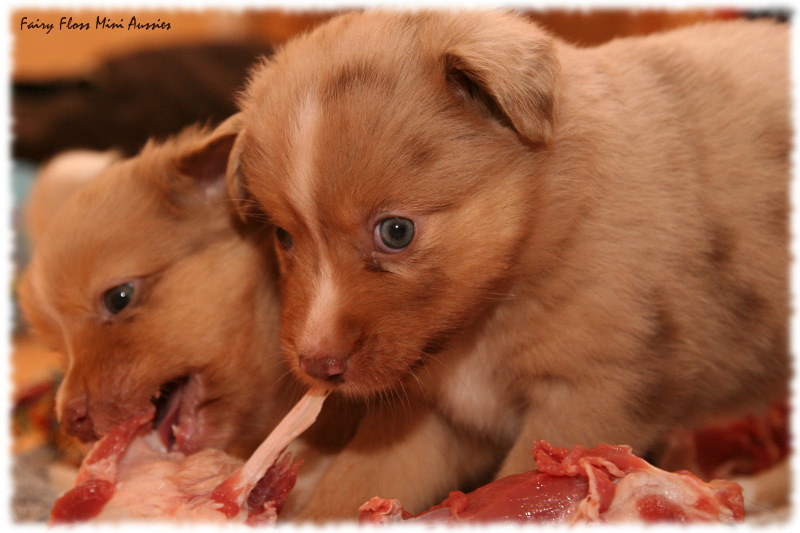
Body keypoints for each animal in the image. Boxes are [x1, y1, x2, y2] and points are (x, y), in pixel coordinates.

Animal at [230, 10, 788, 520]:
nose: (316, 366)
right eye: (283, 236)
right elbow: (351, 487)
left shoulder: (593, 393)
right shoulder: (439, 418)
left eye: (396, 231)